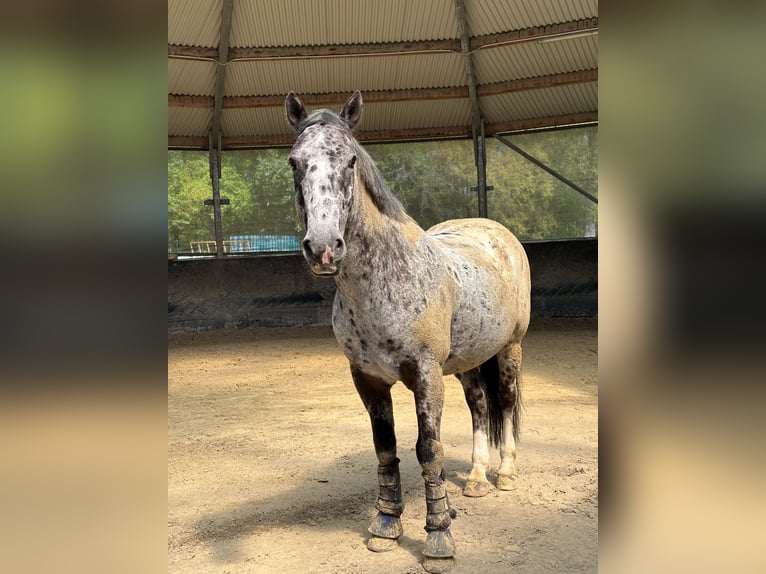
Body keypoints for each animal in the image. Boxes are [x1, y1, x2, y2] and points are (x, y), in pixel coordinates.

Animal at [284, 92, 532, 572]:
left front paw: (439, 538)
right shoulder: (367, 379)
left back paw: (507, 473)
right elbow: (386, 447)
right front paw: (386, 525)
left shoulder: (426, 376)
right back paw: (476, 479)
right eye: (294, 162)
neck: (386, 281)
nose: (323, 248)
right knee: (479, 408)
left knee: (506, 403)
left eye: (349, 161)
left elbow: (429, 450)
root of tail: (495, 232)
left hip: (510, 349)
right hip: (468, 363)